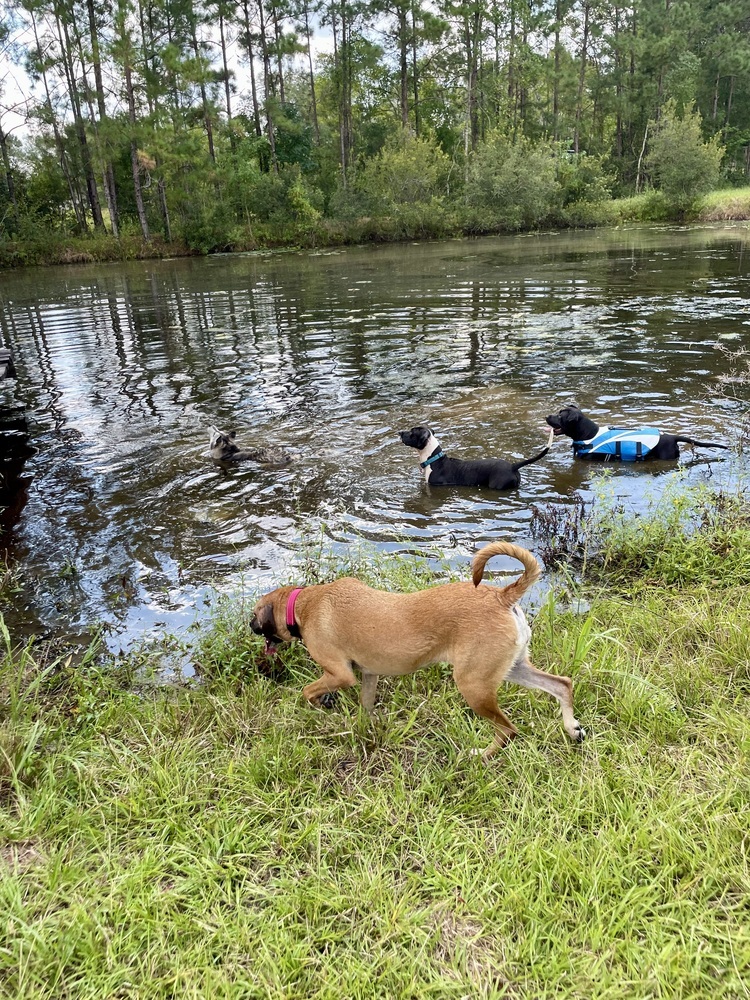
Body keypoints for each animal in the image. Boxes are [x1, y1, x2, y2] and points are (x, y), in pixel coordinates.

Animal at [250, 548, 584, 756]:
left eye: (254, 615)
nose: (250, 626)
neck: (303, 603)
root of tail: (501, 596)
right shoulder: (369, 676)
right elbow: (366, 707)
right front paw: (366, 729)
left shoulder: (340, 674)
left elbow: (308, 690)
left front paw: (319, 706)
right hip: (512, 669)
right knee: (562, 684)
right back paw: (572, 729)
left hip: (474, 685)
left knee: (508, 730)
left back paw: (481, 755)